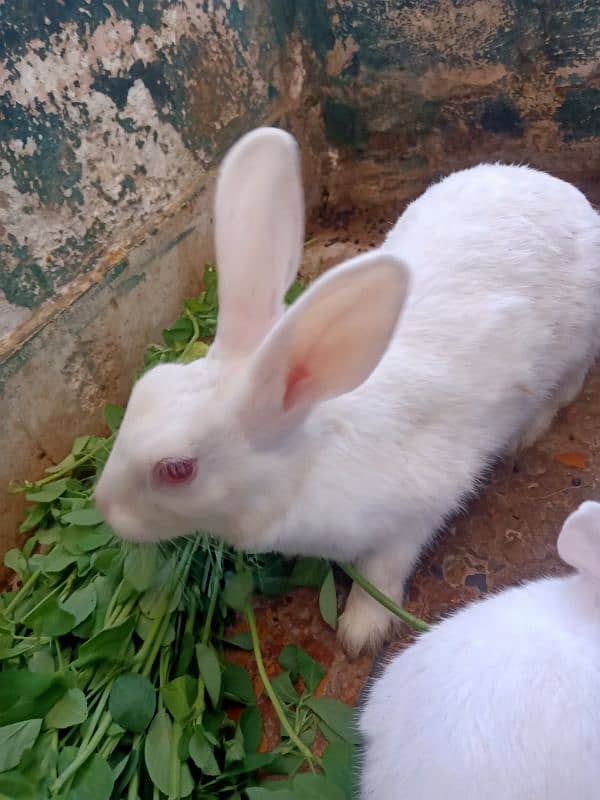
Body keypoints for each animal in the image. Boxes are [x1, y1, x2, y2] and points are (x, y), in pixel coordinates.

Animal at [96, 126, 600, 656]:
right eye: (144, 390)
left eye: (177, 470)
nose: (104, 507)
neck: (306, 463)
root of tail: (571, 198)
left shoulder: (413, 517)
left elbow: (384, 572)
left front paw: (361, 630)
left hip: (575, 344)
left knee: (567, 386)